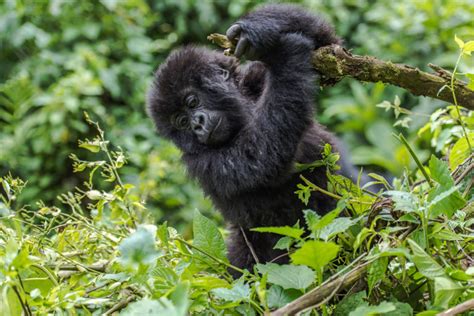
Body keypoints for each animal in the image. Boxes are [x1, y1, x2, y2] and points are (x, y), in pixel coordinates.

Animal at [148, 4, 360, 276]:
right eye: (181, 122)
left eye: (192, 102)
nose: (197, 125)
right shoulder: (199, 162)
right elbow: (261, 157)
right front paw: (288, 55)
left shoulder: (253, 78)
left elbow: (331, 46)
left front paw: (257, 29)